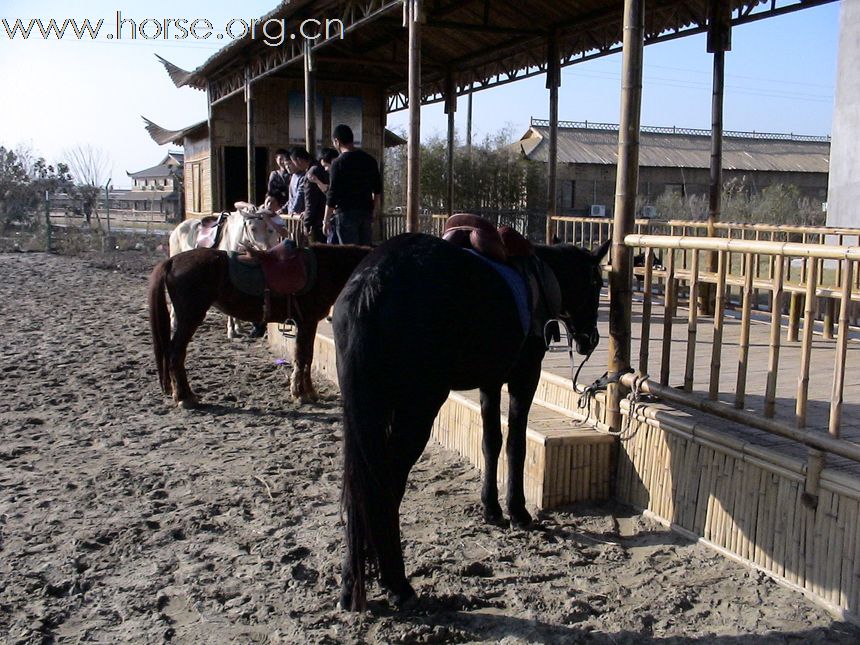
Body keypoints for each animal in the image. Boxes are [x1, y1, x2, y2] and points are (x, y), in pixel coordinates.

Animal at [149, 244, 370, 406]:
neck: (325, 269)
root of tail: (172, 261)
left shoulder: (307, 323)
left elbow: (305, 356)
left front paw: (306, 392)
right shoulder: (307, 322)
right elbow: (303, 357)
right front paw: (302, 394)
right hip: (190, 318)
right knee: (175, 354)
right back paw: (184, 397)